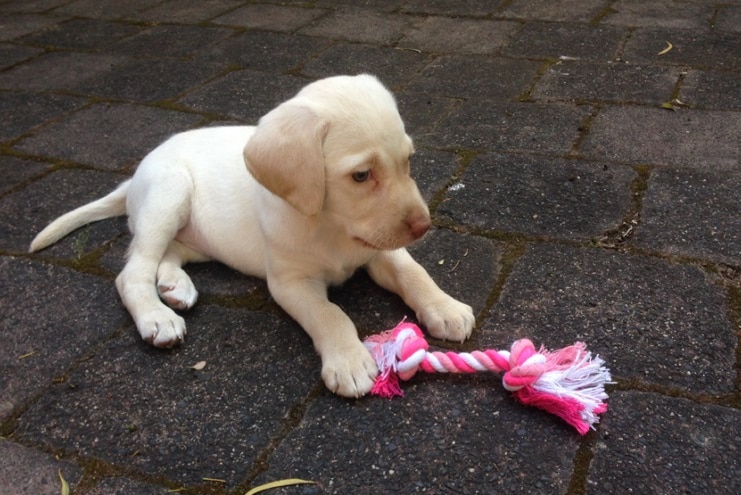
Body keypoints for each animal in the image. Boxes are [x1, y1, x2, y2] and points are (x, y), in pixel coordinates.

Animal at [28, 74, 472, 400]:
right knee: (134, 270)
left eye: (408, 161)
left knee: (166, 255)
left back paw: (175, 286)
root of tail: (136, 175)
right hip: (169, 194)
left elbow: (414, 273)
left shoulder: (380, 251)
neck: (330, 227)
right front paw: (349, 359)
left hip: (199, 236)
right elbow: (329, 313)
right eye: (361, 175)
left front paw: (445, 307)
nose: (423, 226)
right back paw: (157, 315)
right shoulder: (290, 282)